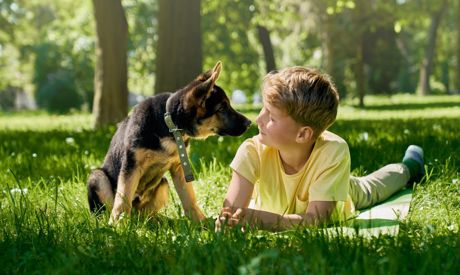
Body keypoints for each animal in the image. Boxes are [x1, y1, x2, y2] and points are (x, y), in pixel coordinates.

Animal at [86, 61, 252, 223]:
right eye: (222, 108)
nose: (249, 123)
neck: (169, 125)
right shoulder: (131, 166)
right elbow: (122, 199)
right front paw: (118, 225)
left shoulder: (179, 167)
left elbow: (189, 198)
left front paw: (201, 223)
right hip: (97, 177)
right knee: (111, 208)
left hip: (163, 184)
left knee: (143, 214)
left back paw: (156, 221)